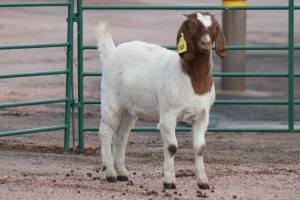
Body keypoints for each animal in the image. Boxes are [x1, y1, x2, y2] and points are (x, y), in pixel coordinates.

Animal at [95, 11, 226, 190]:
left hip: (129, 109)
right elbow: (171, 147)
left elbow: (200, 147)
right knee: (106, 130)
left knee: (121, 135)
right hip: (111, 99)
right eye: (192, 26)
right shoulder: (168, 114)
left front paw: (203, 181)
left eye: (214, 26)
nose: (205, 43)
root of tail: (112, 52)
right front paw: (169, 181)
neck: (191, 79)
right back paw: (110, 173)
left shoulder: (202, 115)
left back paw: (122, 172)